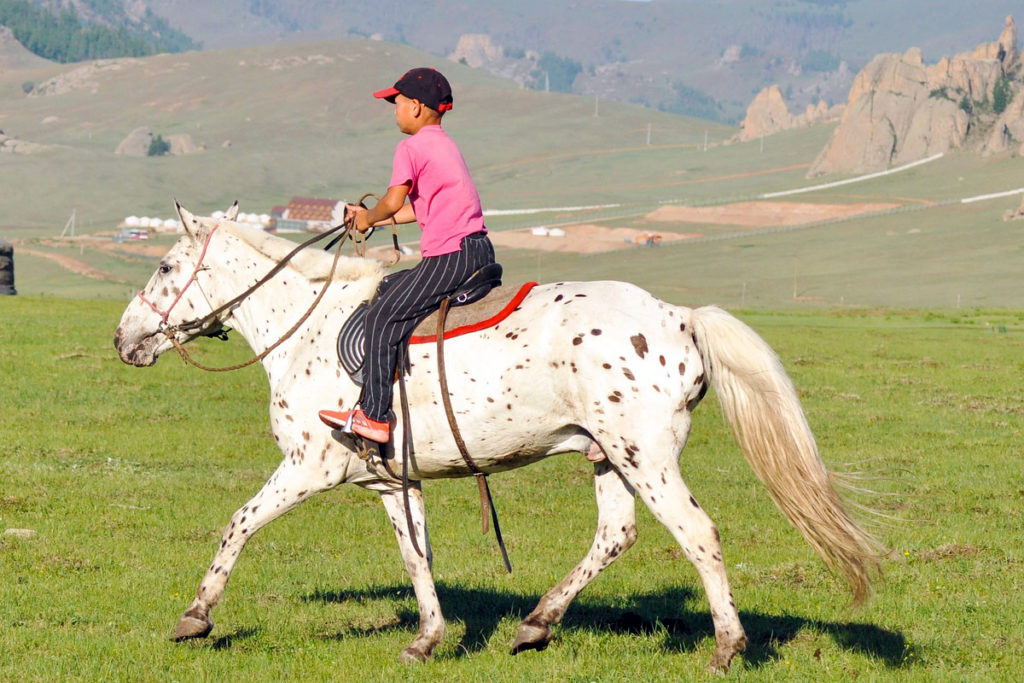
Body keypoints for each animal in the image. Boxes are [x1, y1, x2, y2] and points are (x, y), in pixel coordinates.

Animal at [114, 202, 883, 672]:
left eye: (164, 267)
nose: (122, 340)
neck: (305, 328)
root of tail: (681, 318)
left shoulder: (309, 466)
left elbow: (238, 523)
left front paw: (195, 617)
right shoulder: (390, 480)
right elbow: (416, 557)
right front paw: (426, 640)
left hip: (646, 456)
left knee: (696, 532)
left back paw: (725, 648)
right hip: (608, 456)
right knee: (617, 534)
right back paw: (536, 622)